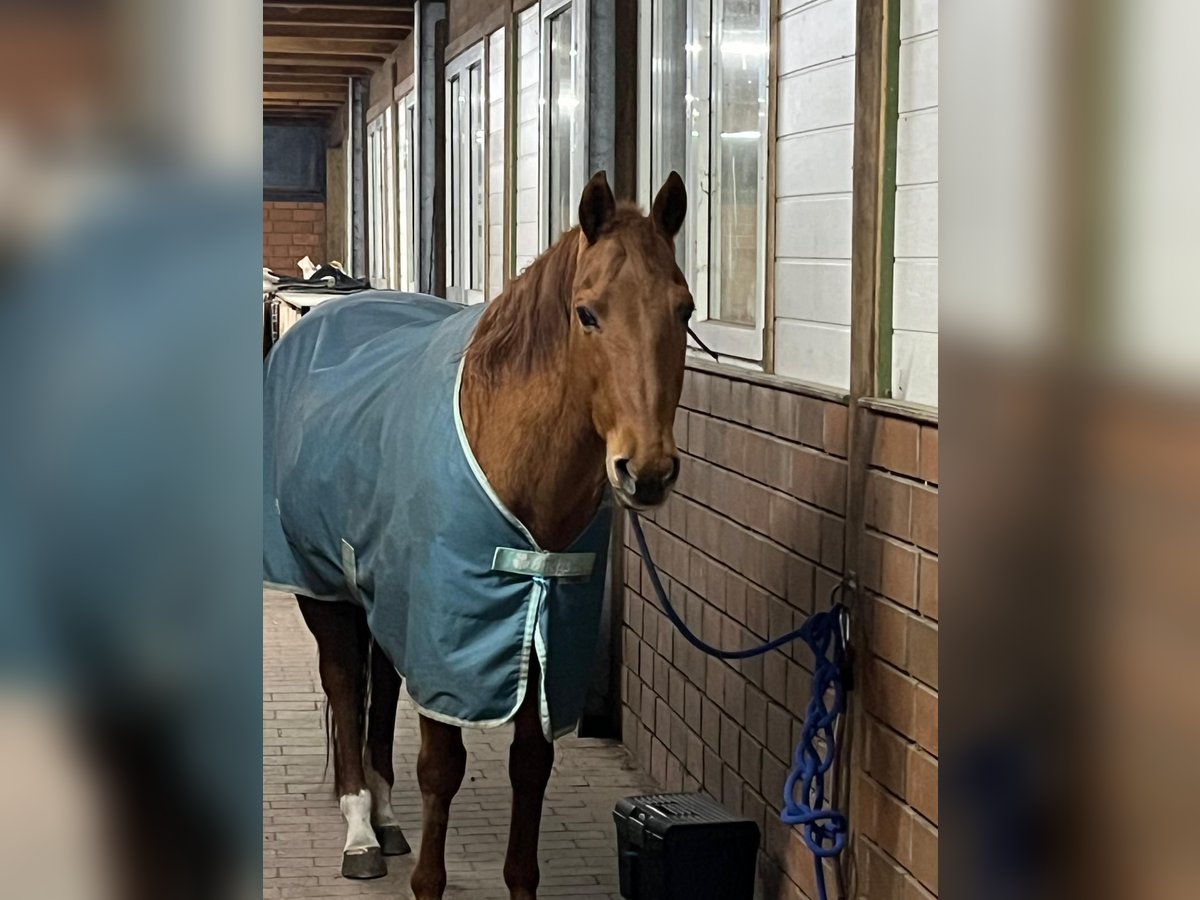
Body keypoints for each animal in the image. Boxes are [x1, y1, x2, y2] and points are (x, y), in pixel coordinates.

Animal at [266, 169, 690, 899]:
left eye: (685, 310)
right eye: (588, 313)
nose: (647, 471)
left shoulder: (546, 645)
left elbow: (531, 767)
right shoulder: (451, 645)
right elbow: (441, 767)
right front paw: (426, 881)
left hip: (387, 600)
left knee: (381, 692)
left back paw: (386, 818)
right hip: (322, 589)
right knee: (345, 686)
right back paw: (359, 833)